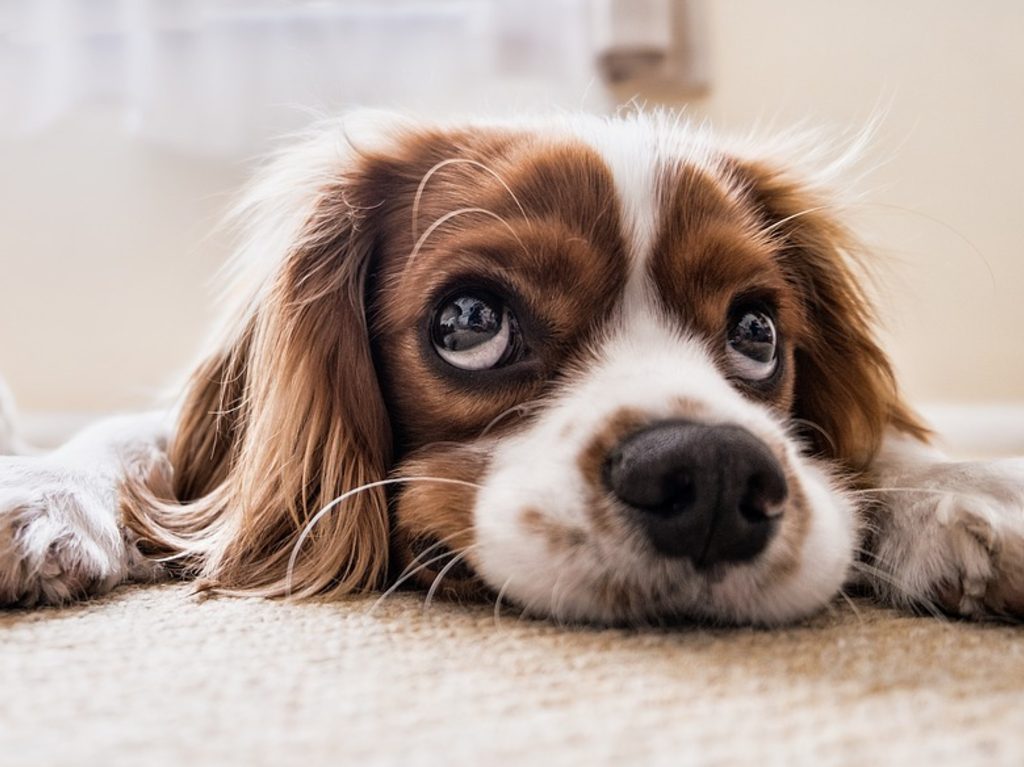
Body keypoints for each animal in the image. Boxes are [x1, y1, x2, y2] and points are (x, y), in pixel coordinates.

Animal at [2, 113, 1024, 626]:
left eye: (758, 330)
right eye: (469, 322)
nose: (713, 475)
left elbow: (881, 447)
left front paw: (964, 490)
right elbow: (133, 437)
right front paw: (43, 489)